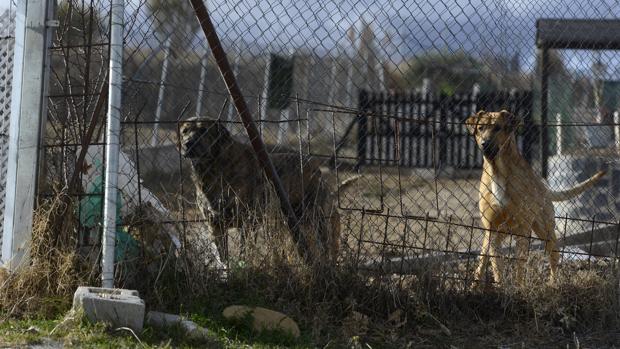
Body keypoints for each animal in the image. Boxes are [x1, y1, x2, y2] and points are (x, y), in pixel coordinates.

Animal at [179, 117, 346, 264]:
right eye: (184, 131)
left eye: (203, 130)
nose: (188, 144)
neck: (213, 169)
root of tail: (314, 166)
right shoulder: (215, 226)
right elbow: (224, 260)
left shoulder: (248, 223)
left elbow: (244, 253)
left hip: (317, 221)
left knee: (325, 250)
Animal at [464, 109, 604, 282]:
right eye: (480, 128)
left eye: (497, 128)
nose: (485, 144)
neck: (498, 171)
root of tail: (543, 187)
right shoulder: (492, 230)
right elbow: (497, 268)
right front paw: (499, 285)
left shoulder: (523, 231)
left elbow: (519, 268)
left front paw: (517, 286)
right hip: (494, 236)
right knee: (482, 262)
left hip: (546, 231)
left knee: (554, 257)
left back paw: (553, 283)